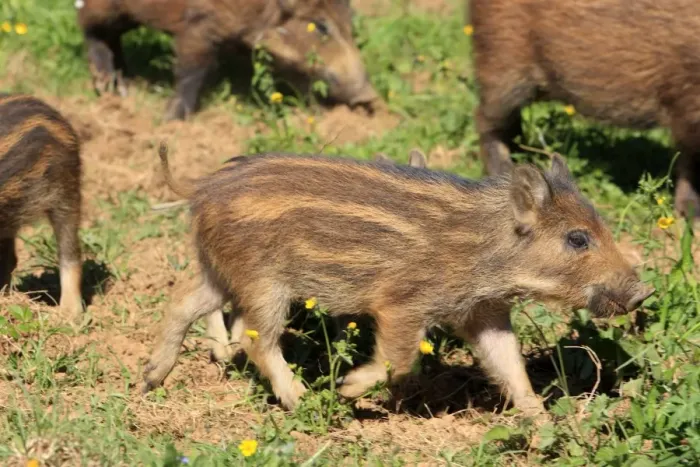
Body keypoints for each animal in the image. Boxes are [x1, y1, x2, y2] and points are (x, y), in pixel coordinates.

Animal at [76, 0, 379, 121]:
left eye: (350, 22)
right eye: (321, 26)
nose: (369, 96)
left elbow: (298, 78)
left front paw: (316, 113)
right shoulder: (198, 29)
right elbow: (191, 72)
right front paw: (171, 120)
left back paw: (124, 85)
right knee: (91, 28)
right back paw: (107, 89)